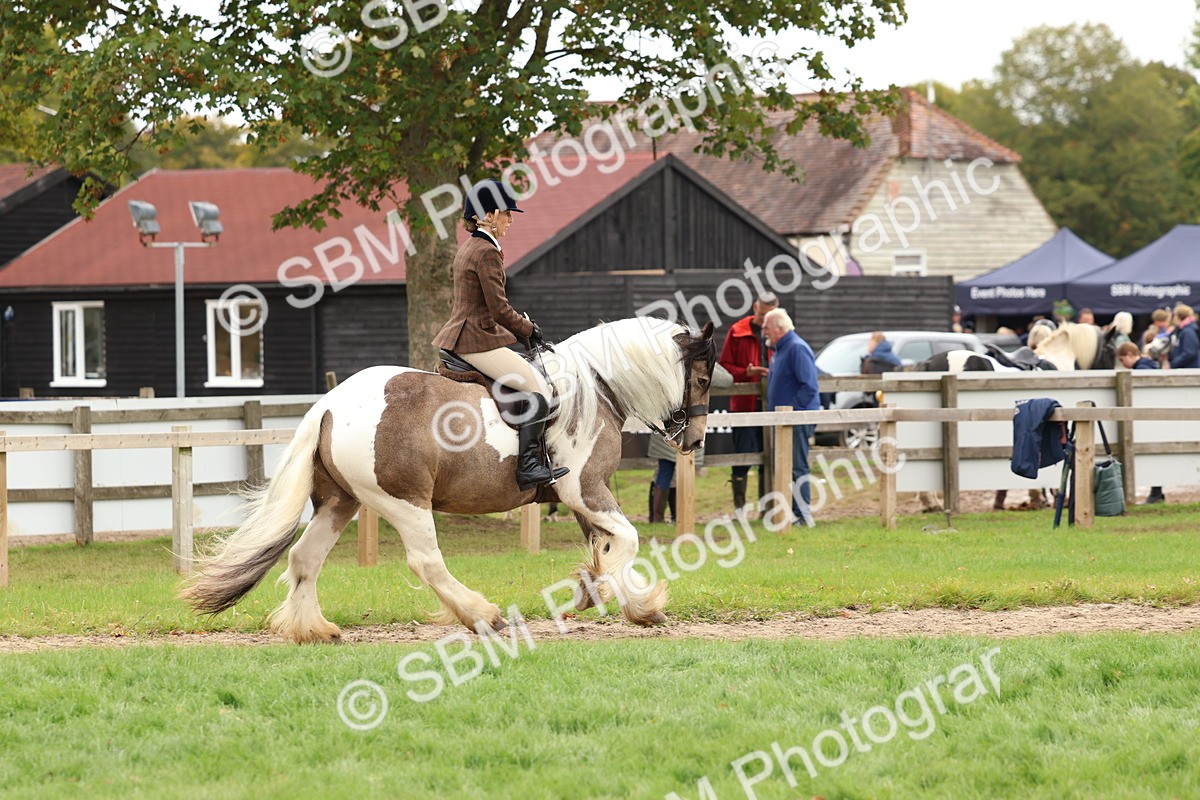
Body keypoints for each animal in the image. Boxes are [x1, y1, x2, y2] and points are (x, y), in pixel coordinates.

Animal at [181, 316, 717, 643]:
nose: (694, 440)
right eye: (704, 378)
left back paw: (313, 629)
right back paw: (482, 615)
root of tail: (328, 405)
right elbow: (626, 541)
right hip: (404, 501)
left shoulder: (584, 498)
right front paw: (632, 601)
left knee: (304, 558)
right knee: (426, 562)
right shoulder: (585, 489)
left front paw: (618, 598)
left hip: (340, 504)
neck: (595, 386)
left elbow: (603, 548)